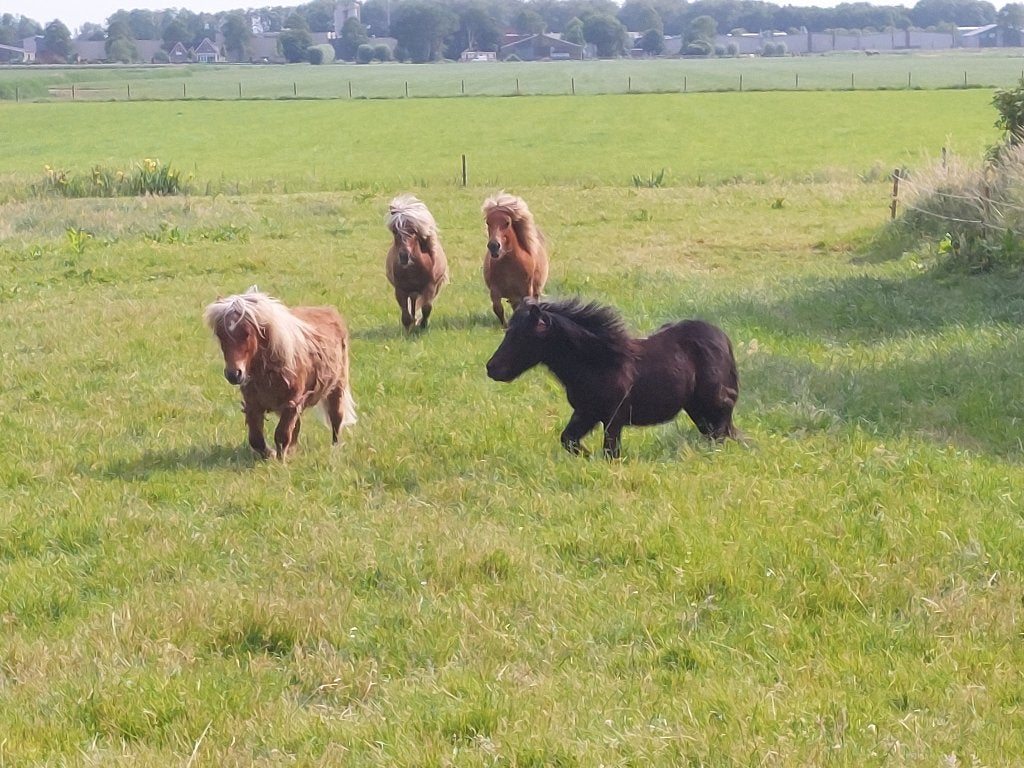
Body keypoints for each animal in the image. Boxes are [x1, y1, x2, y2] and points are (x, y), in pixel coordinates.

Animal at [204, 288, 357, 460]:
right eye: (220, 334)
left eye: (247, 333)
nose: (234, 374)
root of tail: (329, 312)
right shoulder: (253, 405)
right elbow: (256, 439)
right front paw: (271, 454)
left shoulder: (291, 403)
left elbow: (282, 435)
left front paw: (280, 459)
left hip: (336, 389)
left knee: (336, 420)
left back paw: (335, 449)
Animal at [385, 194, 449, 330]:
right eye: (395, 231)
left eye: (413, 231)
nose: (404, 256)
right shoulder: (400, 290)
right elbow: (405, 314)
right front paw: (409, 326)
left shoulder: (430, 287)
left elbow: (426, 308)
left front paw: (423, 325)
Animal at [481, 192, 549, 327]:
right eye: (488, 222)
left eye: (507, 222)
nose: (493, 246)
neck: (509, 265)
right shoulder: (495, 291)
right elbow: (498, 309)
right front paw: (506, 326)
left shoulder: (526, 290)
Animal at [485, 298, 739, 459]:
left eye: (521, 336)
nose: (492, 368)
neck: (600, 361)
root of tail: (723, 337)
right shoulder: (586, 413)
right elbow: (568, 439)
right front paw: (587, 457)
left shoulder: (613, 417)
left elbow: (610, 452)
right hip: (695, 407)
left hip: (710, 396)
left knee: (726, 409)